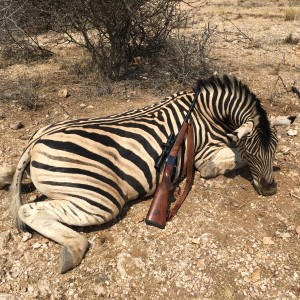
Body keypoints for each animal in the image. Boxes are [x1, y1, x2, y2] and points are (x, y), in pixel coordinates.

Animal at [0, 74, 296, 272]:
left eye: (275, 148)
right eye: (253, 151)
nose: (270, 189)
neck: (208, 112)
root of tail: (36, 142)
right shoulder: (205, 157)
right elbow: (229, 160)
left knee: (13, 176)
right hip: (101, 199)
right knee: (29, 211)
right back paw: (73, 250)